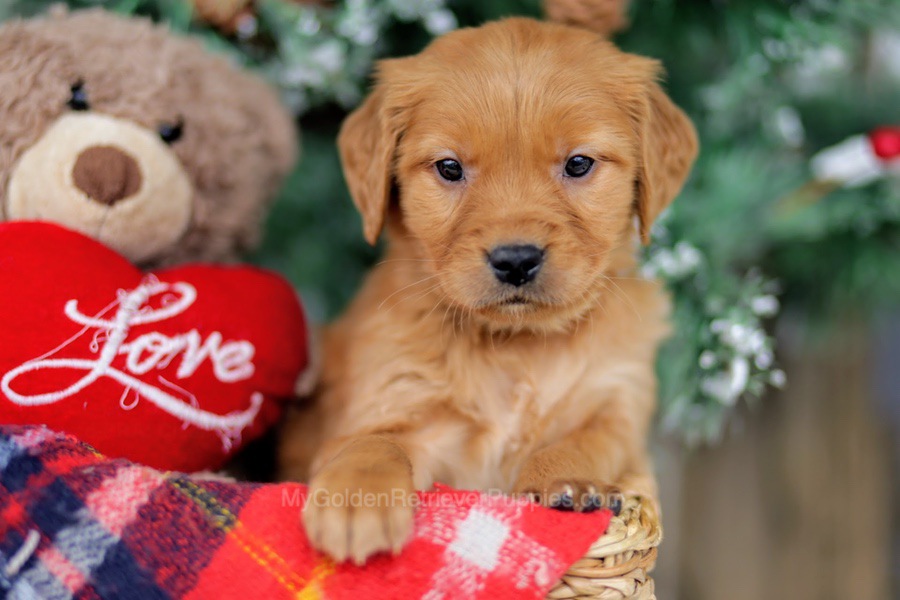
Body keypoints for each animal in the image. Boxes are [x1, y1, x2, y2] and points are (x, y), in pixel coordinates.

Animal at [278, 16, 700, 564]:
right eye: (449, 167)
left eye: (579, 164)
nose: (515, 260)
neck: (515, 347)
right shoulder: (392, 404)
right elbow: (372, 444)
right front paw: (355, 499)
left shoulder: (619, 405)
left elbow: (588, 440)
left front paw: (565, 482)